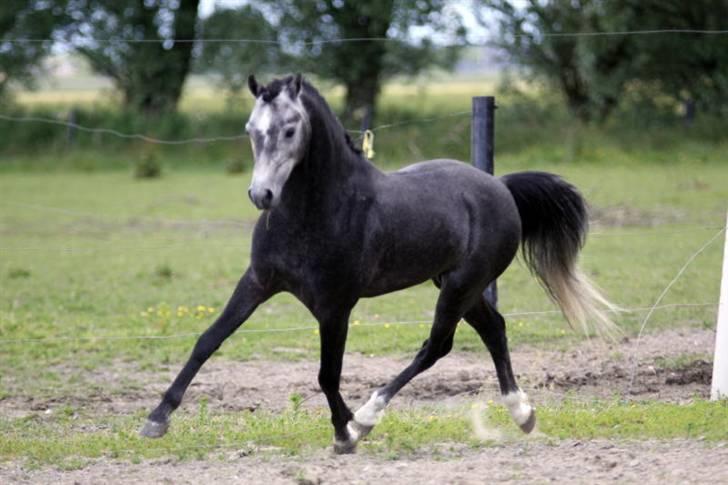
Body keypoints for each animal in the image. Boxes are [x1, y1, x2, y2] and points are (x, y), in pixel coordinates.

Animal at [140, 74, 617, 453]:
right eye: (251, 129)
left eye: (291, 129)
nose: (262, 196)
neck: (318, 211)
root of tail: (499, 186)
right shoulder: (257, 282)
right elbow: (207, 341)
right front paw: (157, 419)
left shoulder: (335, 305)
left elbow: (327, 374)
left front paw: (345, 432)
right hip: (454, 282)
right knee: (494, 330)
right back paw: (522, 414)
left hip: (461, 285)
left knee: (437, 346)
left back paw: (370, 415)